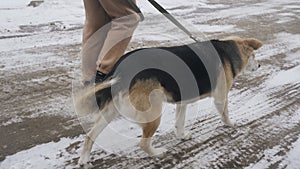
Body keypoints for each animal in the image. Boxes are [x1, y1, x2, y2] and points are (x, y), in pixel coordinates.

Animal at [77, 37, 262, 166]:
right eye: (253, 56)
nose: (260, 65)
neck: (228, 53)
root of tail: (119, 68)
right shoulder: (220, 97)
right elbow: (225, 114)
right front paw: (231, 124)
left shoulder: (182, 102)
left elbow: (180, 122)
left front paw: (182, 136)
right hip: (153, 113)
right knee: (143, 144)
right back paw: (157, 153)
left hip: (110, 112)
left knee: (90, 135)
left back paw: (84, 160)